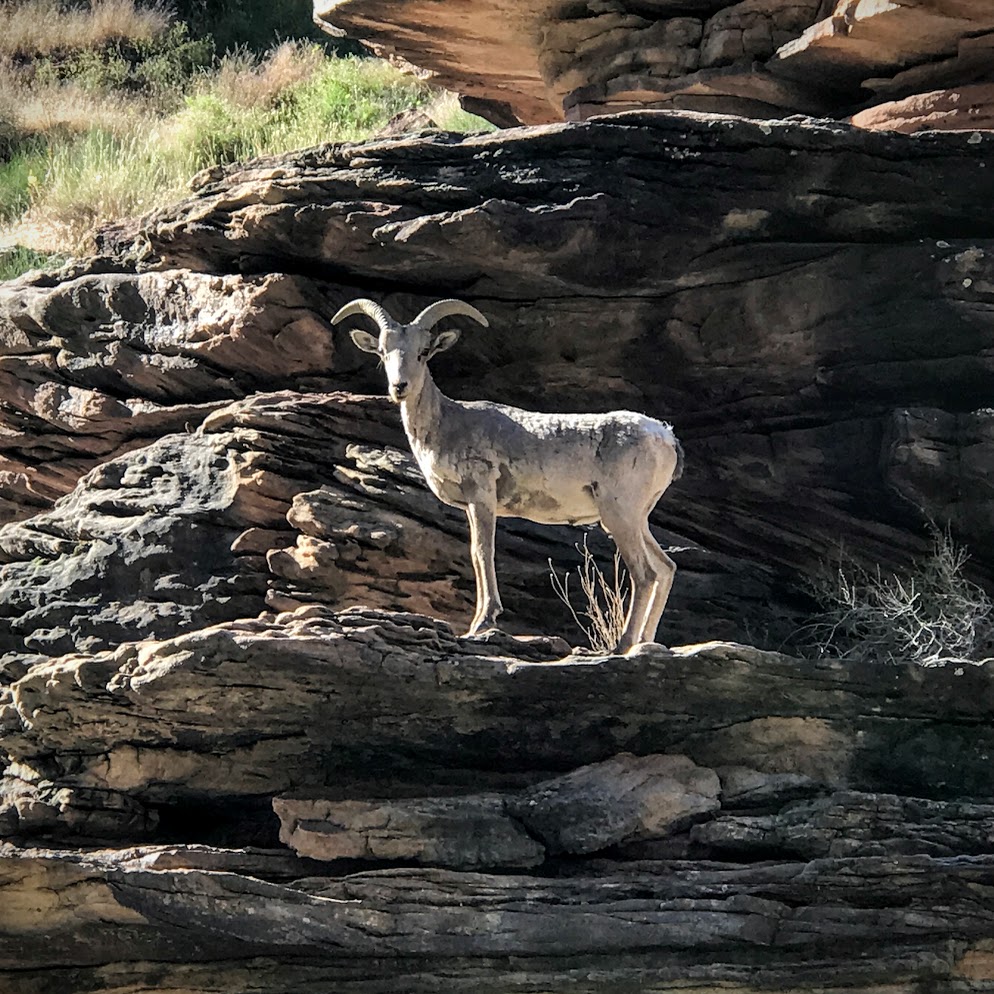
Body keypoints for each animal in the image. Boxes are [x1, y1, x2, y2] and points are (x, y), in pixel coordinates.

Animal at [332, 297, 683, 653]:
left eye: (423, 352)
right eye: (383, 352)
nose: (399, 387)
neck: (447, 425)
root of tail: (665, 437)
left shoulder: (482, 497)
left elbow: (482, 553)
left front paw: (482, 623)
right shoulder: (472, 506)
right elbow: (476, 555)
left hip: (619, 515)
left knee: (645, 574)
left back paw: (622, 645)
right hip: (636, 519)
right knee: (665, 568)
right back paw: (644, 641)